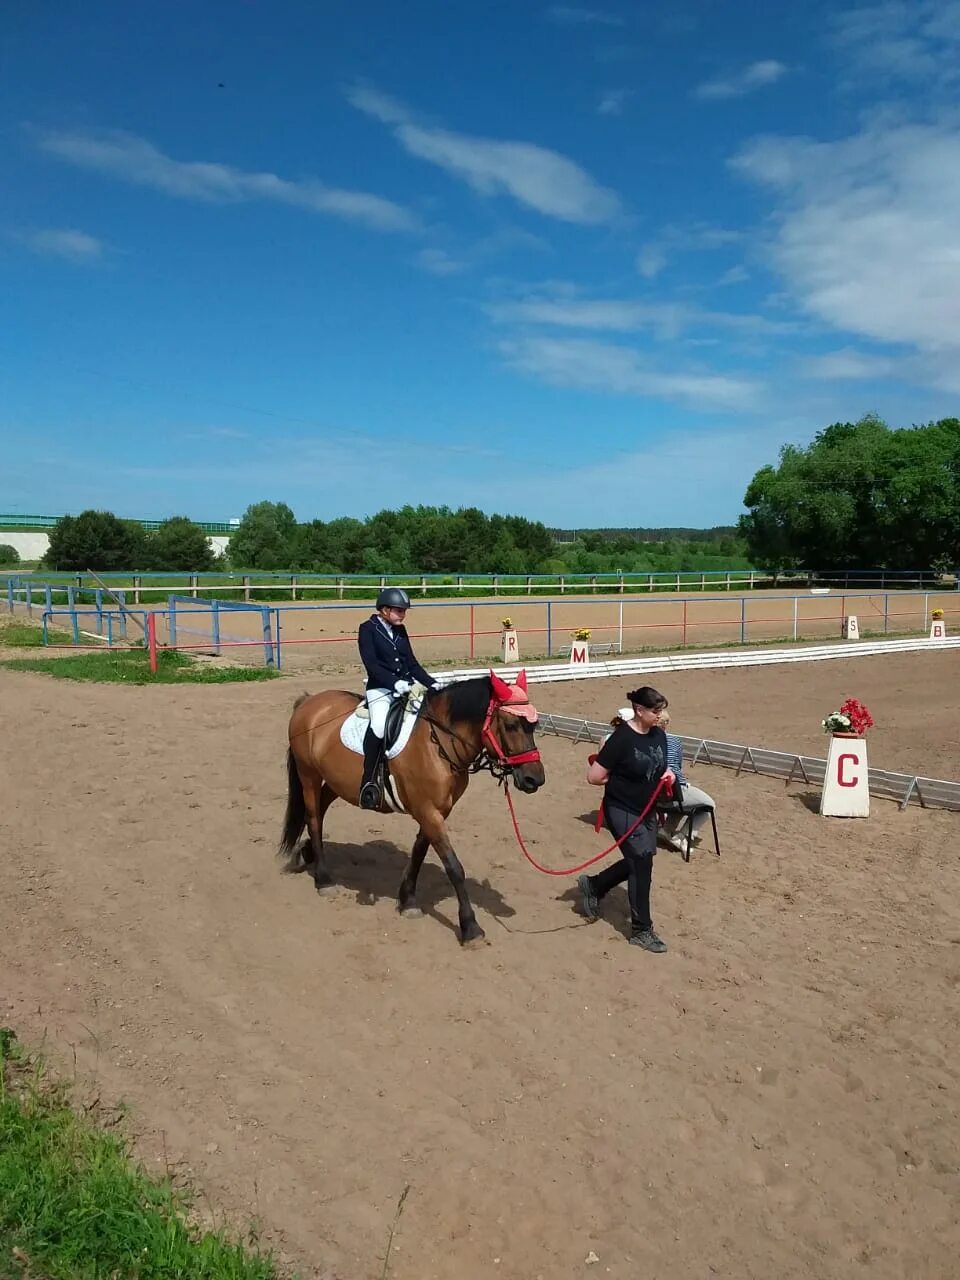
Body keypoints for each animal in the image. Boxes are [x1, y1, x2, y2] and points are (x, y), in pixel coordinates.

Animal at [281, 670, 545, 942]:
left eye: (533, 725)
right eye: (511, 725)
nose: (534, 779)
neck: (439, 743)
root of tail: (309, 702)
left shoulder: (436, 811)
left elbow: (419, 852)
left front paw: (408, 901)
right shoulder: (428, 812)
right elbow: (454, 867)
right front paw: (470, 927)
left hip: (337, 782)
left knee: (319, 812)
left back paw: (307, 853)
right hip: (309, 775)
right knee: (314, 818)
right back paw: (323, 879)